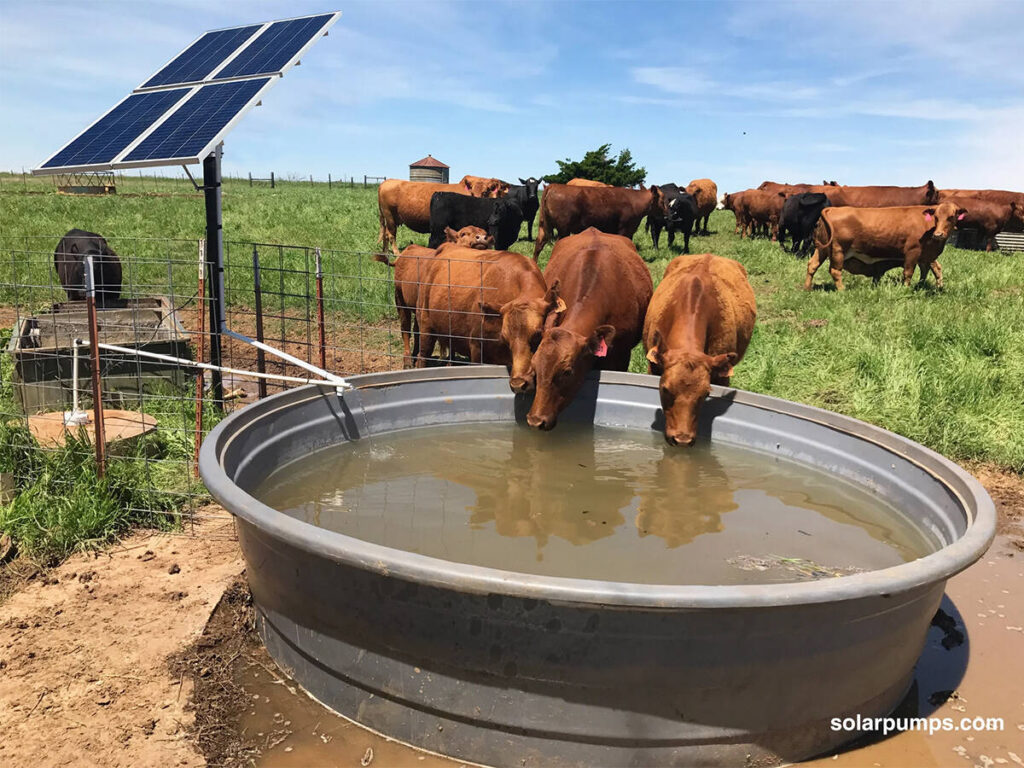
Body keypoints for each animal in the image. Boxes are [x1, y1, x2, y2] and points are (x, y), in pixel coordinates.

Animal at [374, 227, 492, 366]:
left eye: (485, 233)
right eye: (463, 234)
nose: (481, 238)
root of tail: (408, 250)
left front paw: (450, 363)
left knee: (416, 330)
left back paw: (415, 354)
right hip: (400, 300)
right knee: (406, 329)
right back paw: (408, 360)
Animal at [532, 183, 666, 260]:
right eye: (663, 199)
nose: (668, 212)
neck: (635, 201)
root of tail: (553, 186)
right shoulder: (625, 229)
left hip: (544, 226)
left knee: (539, 244)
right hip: (563, 229)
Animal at [806, 202, 967, 291]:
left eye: (951, 217)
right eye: (936, 217)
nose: (938, 234)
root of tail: (833, 209)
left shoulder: (925, 256)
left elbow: (928, 270)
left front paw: (924, 286)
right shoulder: (912, 252)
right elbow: (909, 273)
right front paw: (906, 289)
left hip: (822, 249)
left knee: (812, 265)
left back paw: (807, 288)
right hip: (838, 250)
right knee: (835, 271)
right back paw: (842, 290)